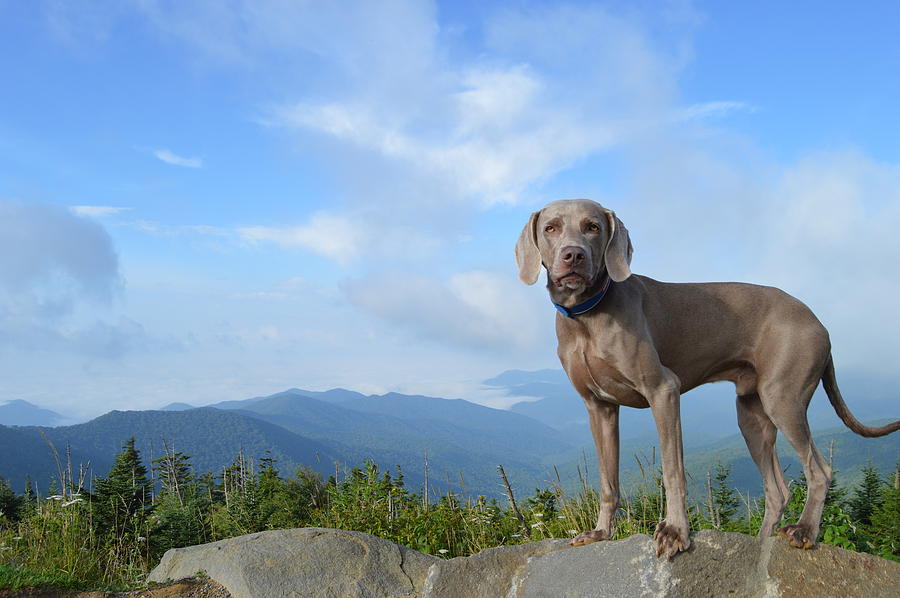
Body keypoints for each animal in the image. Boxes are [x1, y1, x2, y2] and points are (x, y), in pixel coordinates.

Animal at [516, 199, 896, 560]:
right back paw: (761, 541)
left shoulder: (663, 391)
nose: (574, 255)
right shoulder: (599, 408)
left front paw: (675, 532)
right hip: (751, 416)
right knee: (778, 490)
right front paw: (600, 533)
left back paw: (803, 531)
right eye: (551, 227)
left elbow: (673, 472)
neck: (586, 317)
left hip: (783, 399)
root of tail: (820, 323)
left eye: (592, 227)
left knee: (820, 470)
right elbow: (608, 481)